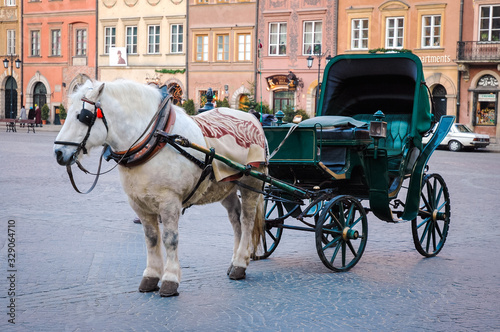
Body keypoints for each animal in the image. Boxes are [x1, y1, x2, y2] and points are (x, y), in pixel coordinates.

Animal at [53, 80, 266, 296]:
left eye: (84, 117)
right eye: (68, 113)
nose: (58, 152)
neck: (155, 138)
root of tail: (251, 118)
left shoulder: (169, 202)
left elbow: (170, 239)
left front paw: (170, 279)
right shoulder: (139, 204)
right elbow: (151, 238)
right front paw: (151, 275)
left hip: (252, 184)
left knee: (247, 221)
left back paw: (240, 263)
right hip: (226, 187)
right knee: (235, 219)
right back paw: (235, 260)